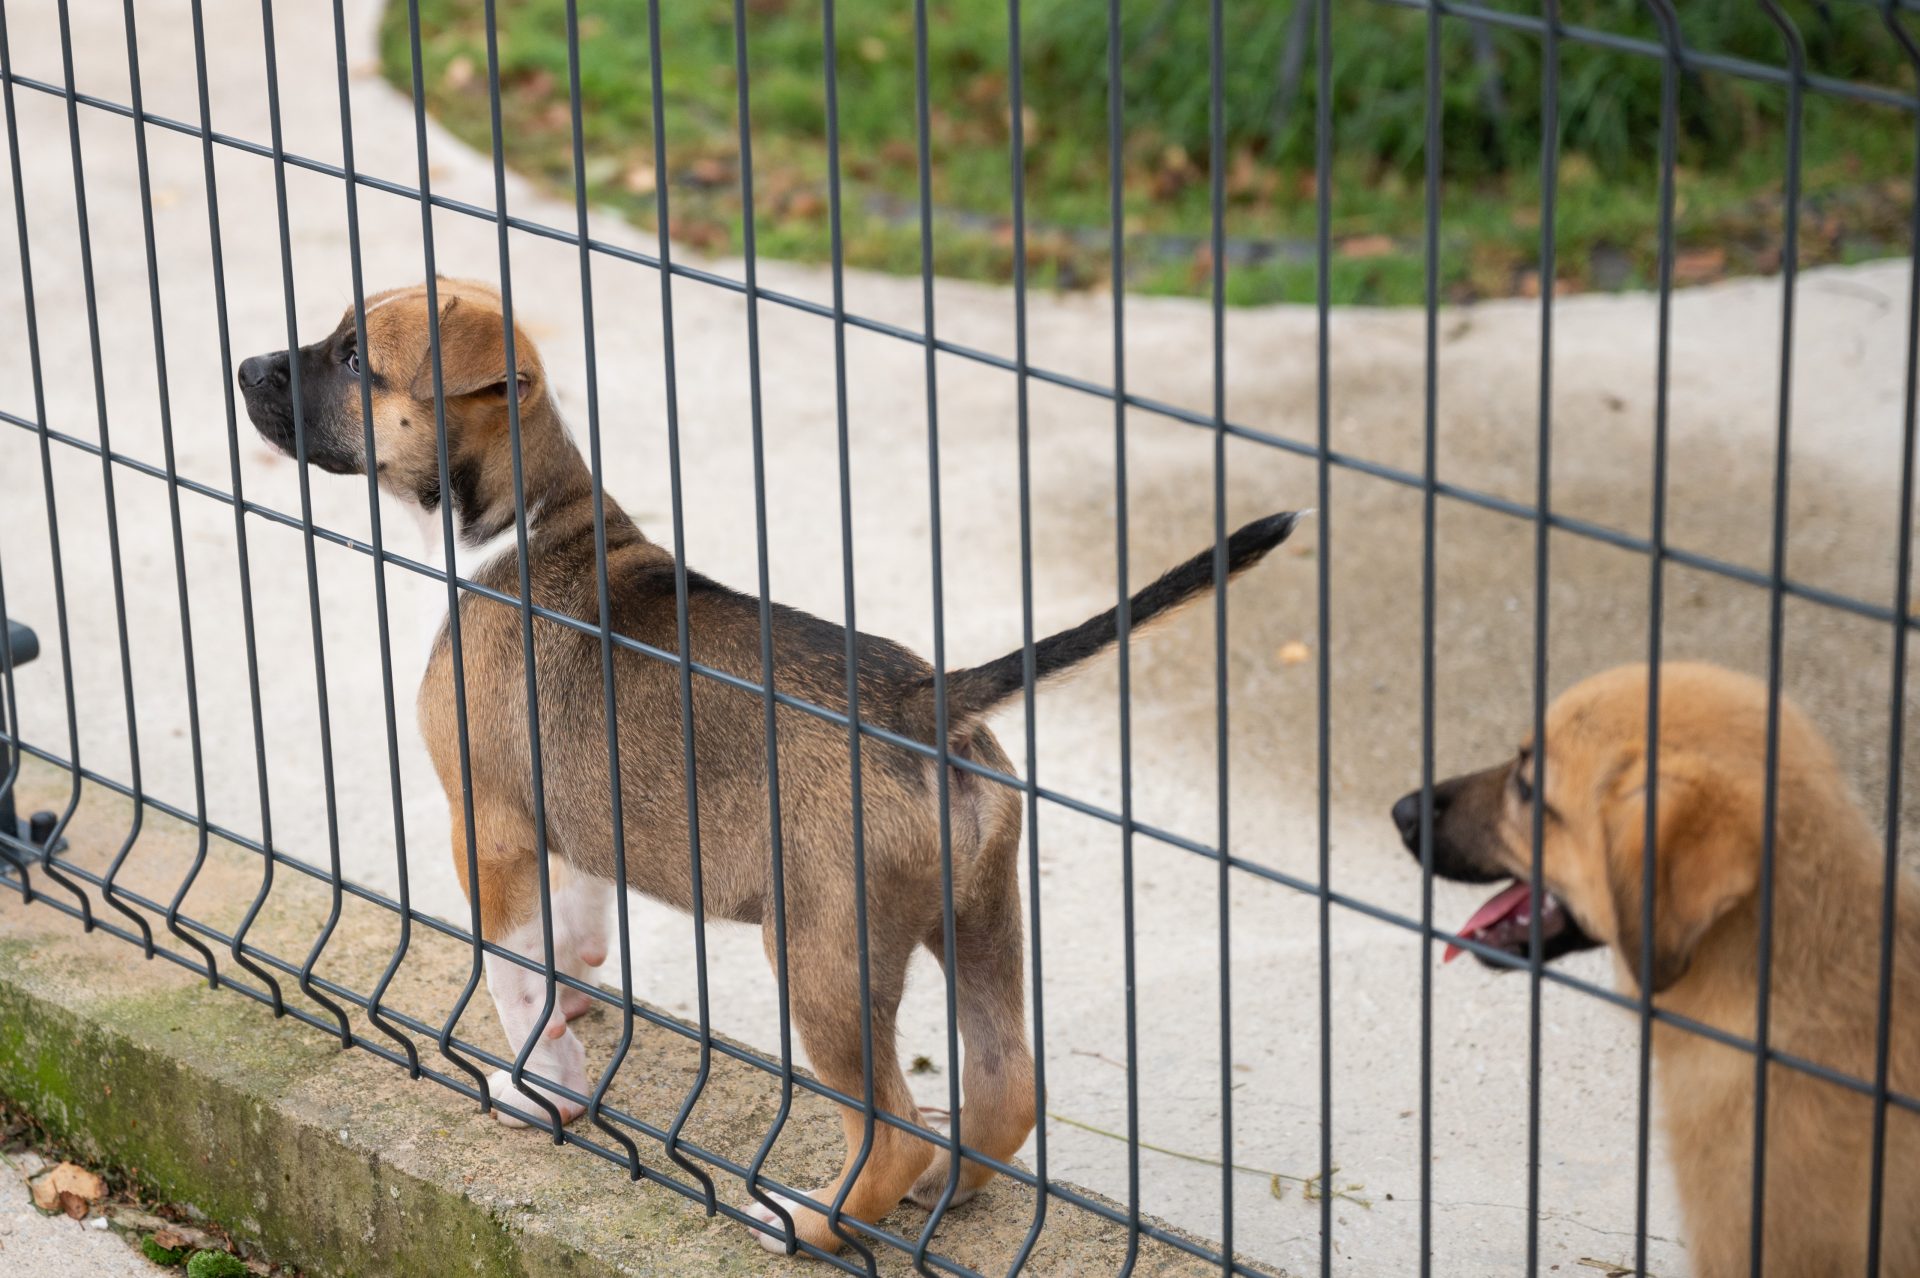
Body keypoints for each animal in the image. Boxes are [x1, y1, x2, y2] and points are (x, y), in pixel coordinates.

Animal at [232, 276, 1297, 1243]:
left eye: (355, 358)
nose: (245, 367)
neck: (516, 526)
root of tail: (926, 701)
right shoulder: (569, 820)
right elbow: (572, 928)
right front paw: (575, 1004)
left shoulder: (485, 827)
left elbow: (513, 977)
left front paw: (546, 1091)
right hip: (981, 916)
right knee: (1007, 1091)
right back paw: (938, 1193)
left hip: (824, 957)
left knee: (890, 1130)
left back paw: (810, 1221)